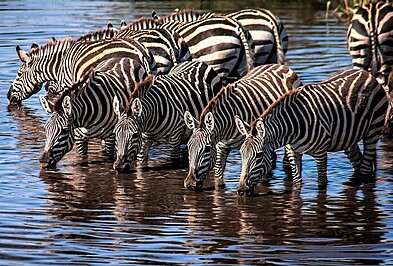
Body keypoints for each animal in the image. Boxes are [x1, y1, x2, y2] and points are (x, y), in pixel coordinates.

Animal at [234, 68, 388, 195]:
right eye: (241, 153)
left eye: (259, 155)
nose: (241, 190)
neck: (292, 128)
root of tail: (366, 73)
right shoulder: (293, 152)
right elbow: (297, 183)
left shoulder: (321, 153)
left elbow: (322, 184)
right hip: (348, 138)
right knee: (359, 163)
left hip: (373, 131)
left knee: (365, 168)